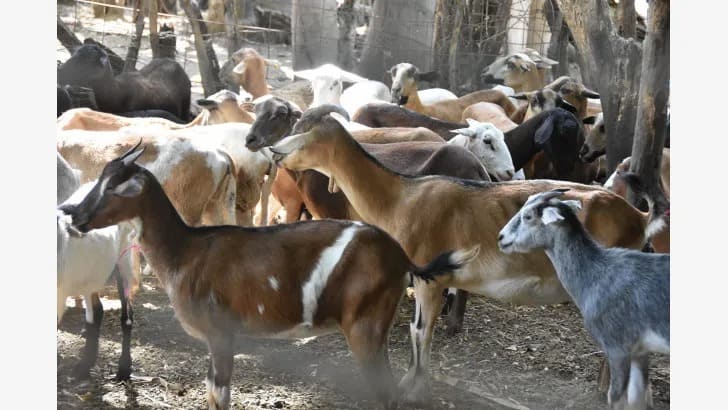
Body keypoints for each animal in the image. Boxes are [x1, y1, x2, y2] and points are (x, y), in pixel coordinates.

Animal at [62, 142, 478, 410]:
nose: (73, 214)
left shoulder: (221, 331)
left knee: (386, 394)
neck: (187, 252)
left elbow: (221, 398)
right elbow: (212, 394)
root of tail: (402, 257)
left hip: (366, 325)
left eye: (116, 185)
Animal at [268, 110, 648, 402]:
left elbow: (422, 331)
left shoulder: (430, 279)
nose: (274, 150)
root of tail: (639, 217)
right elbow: (416, 329)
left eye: (305, 137)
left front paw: (414, 388)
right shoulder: (424, 277)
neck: (402, 197)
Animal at [498, 190, 668, 410]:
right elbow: (638, 398)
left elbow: (616, 397)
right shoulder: (641, 350)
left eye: (528, 216)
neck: (597, 272)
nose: (501, 237)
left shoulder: (618, 347)